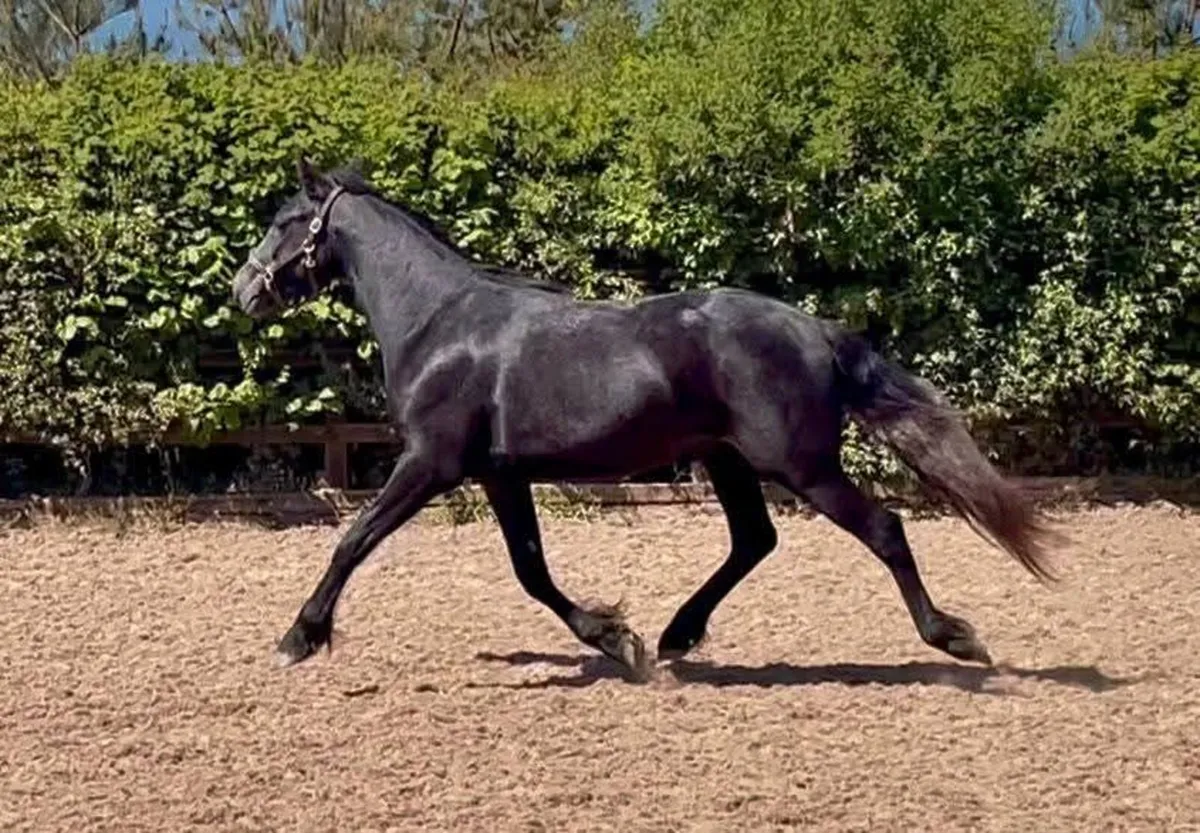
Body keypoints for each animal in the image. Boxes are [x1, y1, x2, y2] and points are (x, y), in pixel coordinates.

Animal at [230, 158, 1061, 682]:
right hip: (728, 458)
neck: (440, 322)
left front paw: (298, 636)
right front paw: (617, 639)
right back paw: (675, 634)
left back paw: (955, 637)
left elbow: (353, 538)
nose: (244, 288)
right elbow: (531, 570)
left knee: (883, 528)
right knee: (754, 539)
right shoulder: (499, 475)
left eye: (286, 220)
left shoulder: (431, 461)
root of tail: (818, 330)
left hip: (800, 465)